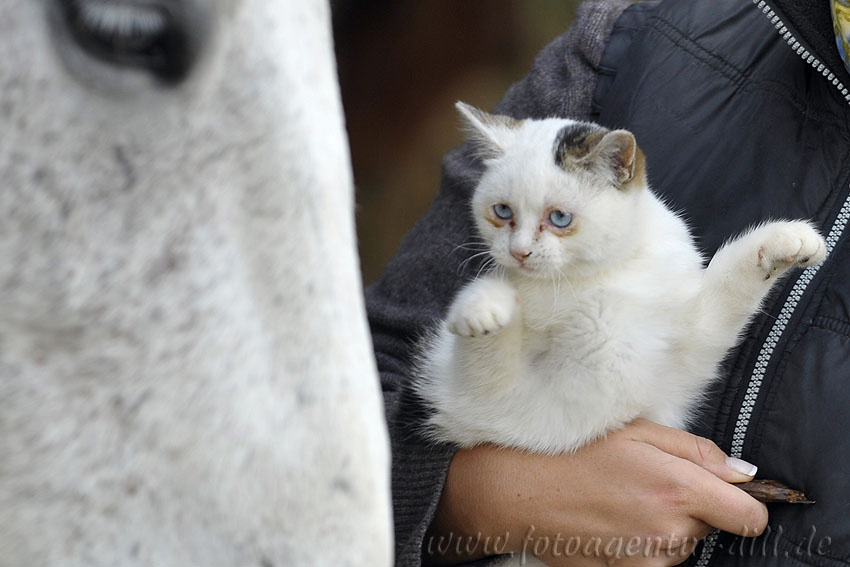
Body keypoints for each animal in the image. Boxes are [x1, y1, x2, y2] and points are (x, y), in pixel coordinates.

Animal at [414, 102, 824, 460]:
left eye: (559, 218)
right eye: (502, 212)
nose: (519, 252)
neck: (605, 273)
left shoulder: (690, 346)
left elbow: (730, 280)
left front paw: (788, 241)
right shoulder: (495, 402)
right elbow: (494, 353)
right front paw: (485, 305)